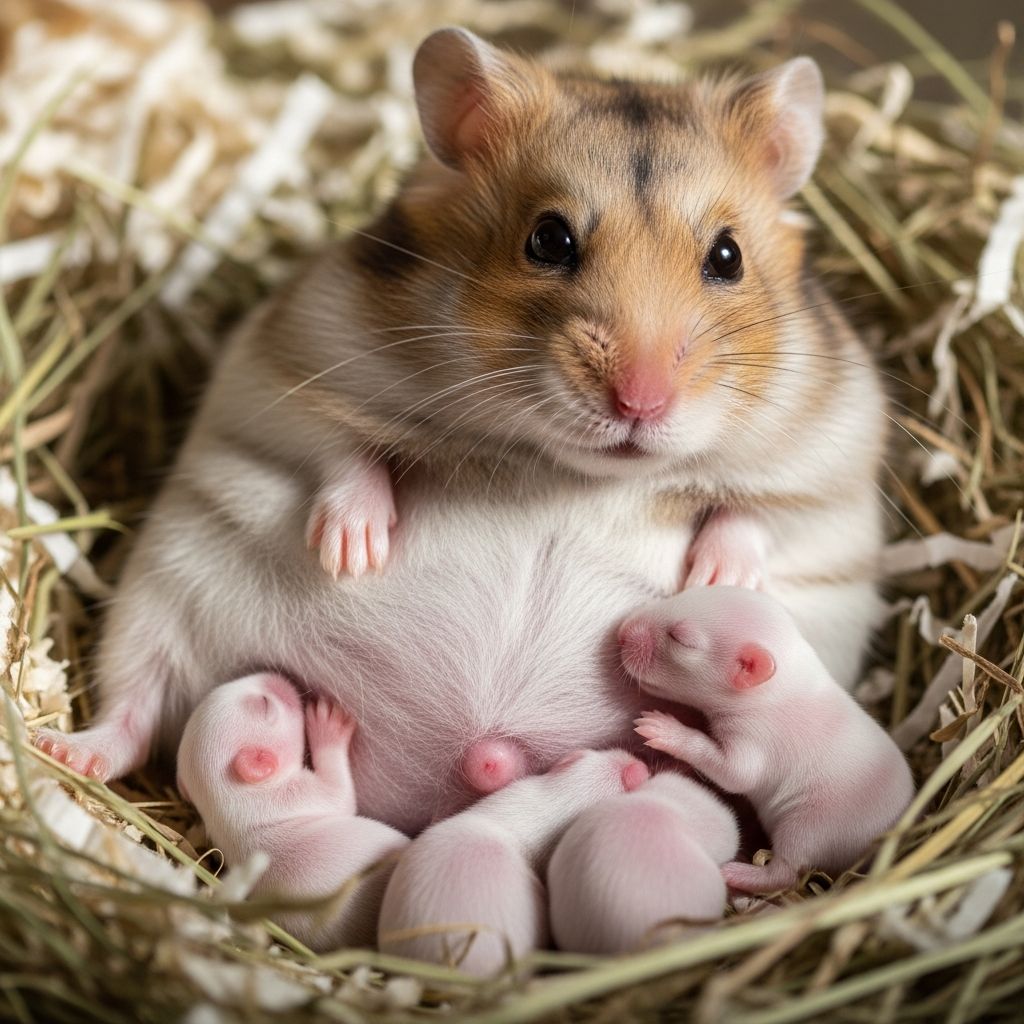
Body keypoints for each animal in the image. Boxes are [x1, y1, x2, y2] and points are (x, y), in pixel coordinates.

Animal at [37, 28, 886, 851]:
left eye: (727, 257)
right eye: (549, 240)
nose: (640, 401)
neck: (564, 466)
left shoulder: (831, 464)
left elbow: (753, 514)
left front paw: (715, 578)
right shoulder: (288, 375)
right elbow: (344, 454)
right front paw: (352, 552)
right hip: (157, 601)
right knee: (132, 709)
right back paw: (62, 753)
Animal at [176, 674, 409, 949]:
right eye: (264, 704)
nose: (273, 674)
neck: (224, 803)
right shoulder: (294, 796)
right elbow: (340, 797)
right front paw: (327, 725)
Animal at [620, 587, 915, 893]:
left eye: (681, 640)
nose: (622, 631)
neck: (780, 685)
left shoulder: (756, 737)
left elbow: (736, 774)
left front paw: (666, 729)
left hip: (811, 825)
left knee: (787, 871)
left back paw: (741, 874)